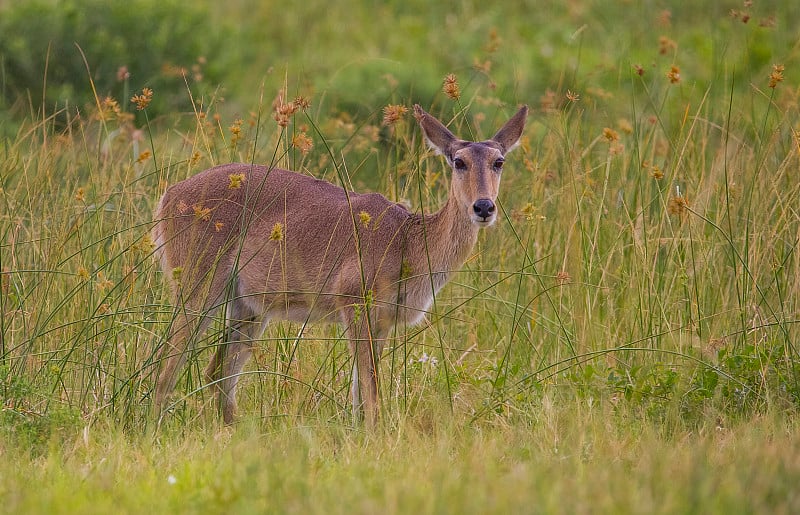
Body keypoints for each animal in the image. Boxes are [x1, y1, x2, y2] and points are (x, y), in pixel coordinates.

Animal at [155, 103, 532, 426]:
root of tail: (167, 197)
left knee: (218, 371)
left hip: (249, 306)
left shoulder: (382, 322)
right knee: (167, 363)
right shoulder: (354, 301)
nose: (483, 207)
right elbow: (370, 391)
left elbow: (359, 393)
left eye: (499, 161)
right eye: (458, 161)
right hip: (198, 282)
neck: (408, 243)